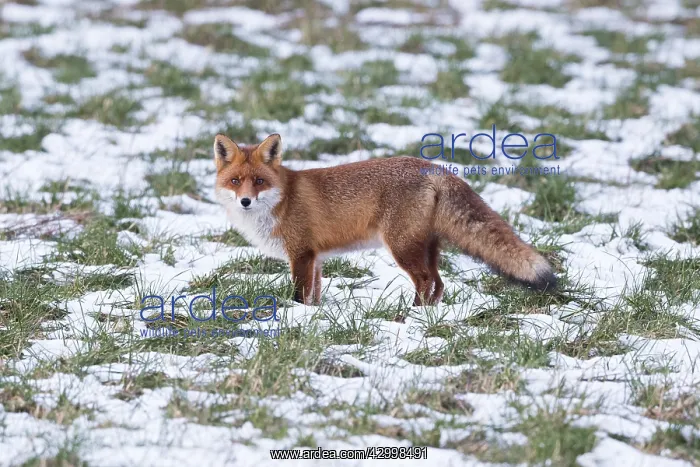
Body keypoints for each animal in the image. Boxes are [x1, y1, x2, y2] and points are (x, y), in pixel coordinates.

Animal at [213, 133, 558, 307]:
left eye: (259, 181)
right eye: (235, 181)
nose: (245, 201)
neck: (282, 201)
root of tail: (435, 168)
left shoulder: (301, 254)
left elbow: (299, 294)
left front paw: (298, 316)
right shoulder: (316, 259)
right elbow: (315, 294)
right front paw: (314, 315)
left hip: (401, 248)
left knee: (426, 281)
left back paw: (412, 315)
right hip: (425, 247)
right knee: (439, 283)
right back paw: (428, 313)